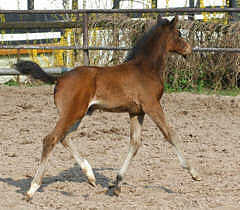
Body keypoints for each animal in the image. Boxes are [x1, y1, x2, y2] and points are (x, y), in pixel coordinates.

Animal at [14, 15, 200, 199]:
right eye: (179, 34)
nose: (189, 49)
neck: (146, 68)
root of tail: (59, 79)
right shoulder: (152, 105)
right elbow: (170, 134)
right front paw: (193, 172)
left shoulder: (136, 112)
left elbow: (135, 143)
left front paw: (117, 184)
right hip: (73, 113)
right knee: (51, 138)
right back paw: (32, 188)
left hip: (79, 114)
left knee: (64, 137)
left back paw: (90, 176)